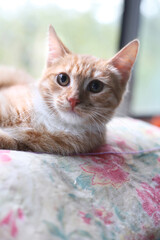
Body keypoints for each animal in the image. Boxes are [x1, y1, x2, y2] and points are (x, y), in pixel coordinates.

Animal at [0, 25, 139, 155]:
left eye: (95, 86)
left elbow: (10, 141)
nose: (73, 99)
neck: (54, 123)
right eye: (63, 79)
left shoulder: (27, 144)